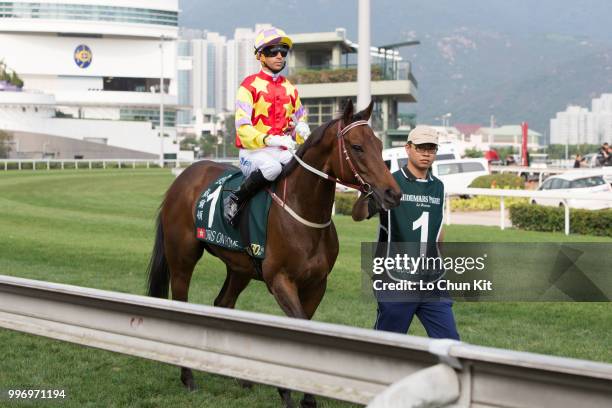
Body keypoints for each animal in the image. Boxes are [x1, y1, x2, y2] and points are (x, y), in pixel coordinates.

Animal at [145, 99, 402, 408]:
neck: (303, 214)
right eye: (357, 146)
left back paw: (241, 376)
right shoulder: (280, 280)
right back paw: (188, 376)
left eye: (378, 144)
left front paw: (305, 396)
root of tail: (183, 177)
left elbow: (306, 328)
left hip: (240, 268)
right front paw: (288, 391)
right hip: (182, 258)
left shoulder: (317, 284)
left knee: (223, 302)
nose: (393, 193)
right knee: (181, 304)